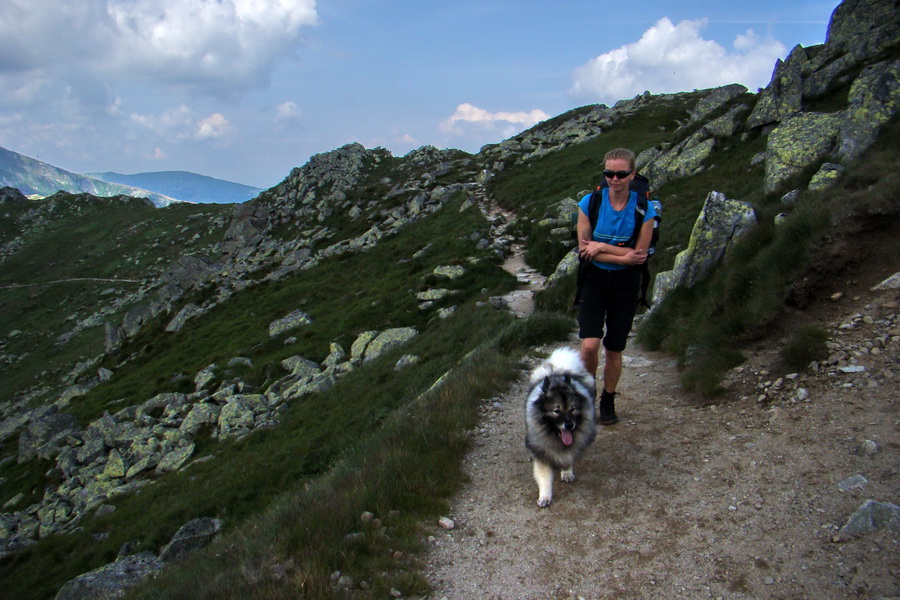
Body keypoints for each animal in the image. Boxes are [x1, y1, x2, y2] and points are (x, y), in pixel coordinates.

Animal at [524, 346, 596, 506]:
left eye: (573, 409)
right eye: (556, 411)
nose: (569, 425)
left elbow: (567, 457)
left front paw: (567, 472)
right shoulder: (541, 450)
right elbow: (544, 477)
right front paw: (545, 497)